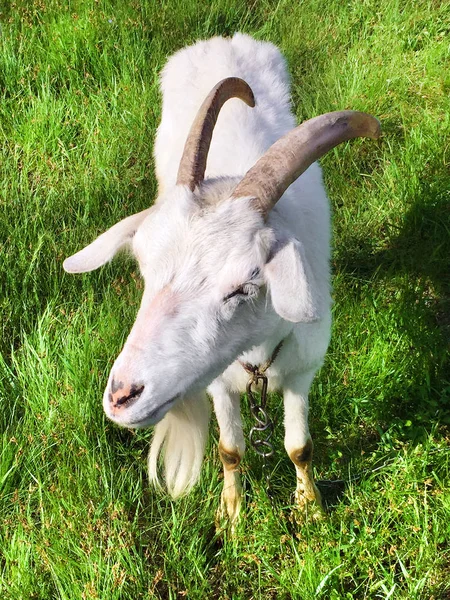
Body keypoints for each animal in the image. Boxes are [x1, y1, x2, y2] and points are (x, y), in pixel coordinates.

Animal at [64, 34, 380, 524]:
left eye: (243, 287)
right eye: (144, 271)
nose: (122, 396)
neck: (259, 356)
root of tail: (223, 40)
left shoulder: (304, 369)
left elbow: (299, 447)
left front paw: (310, 508)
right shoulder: (217, 381)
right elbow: (231, 449)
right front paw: (231, 515)